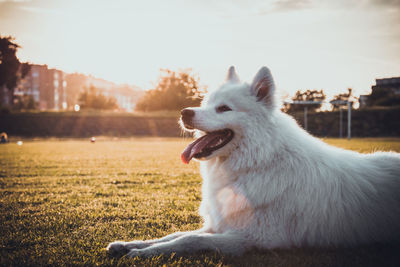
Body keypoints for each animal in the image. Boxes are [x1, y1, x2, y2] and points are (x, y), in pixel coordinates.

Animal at [108, 66, 400, 258]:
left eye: (224, 108)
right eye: (206, 103)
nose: (184, 112)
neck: (259, 161)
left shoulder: (251, 238)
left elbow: (188, 240)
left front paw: (143, 254)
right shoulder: (218, 225)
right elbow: (175, 234)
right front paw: (132, 244)